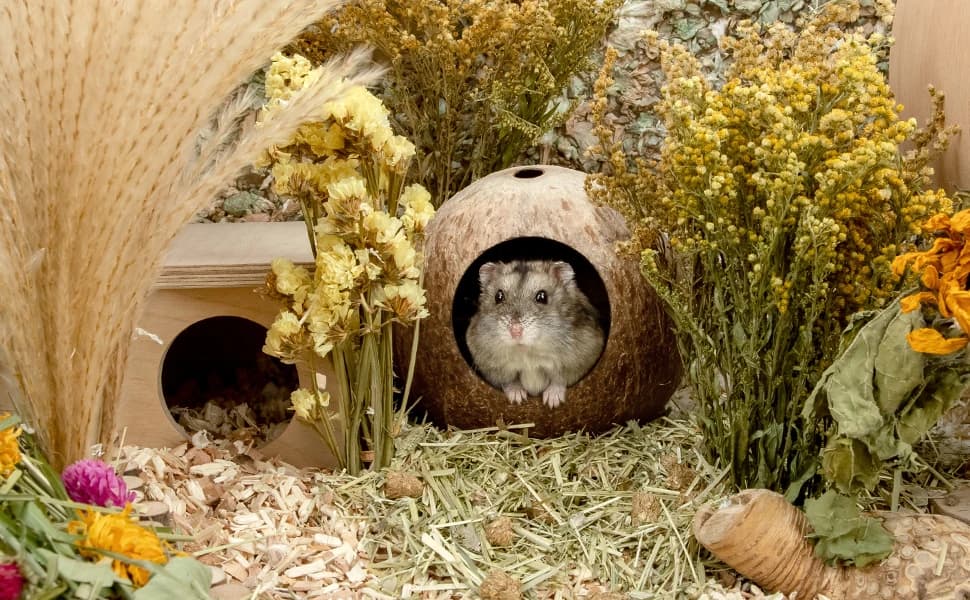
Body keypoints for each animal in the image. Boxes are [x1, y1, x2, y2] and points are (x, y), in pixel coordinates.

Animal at [466, 260, 605, 408]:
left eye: (542, 297)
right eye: (498, 296)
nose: (515, 331)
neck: (526, 351)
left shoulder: (580, 358)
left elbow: (560, 379)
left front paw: (552, 402)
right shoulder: (492, 366)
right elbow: (509, 381)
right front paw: (517, 399)